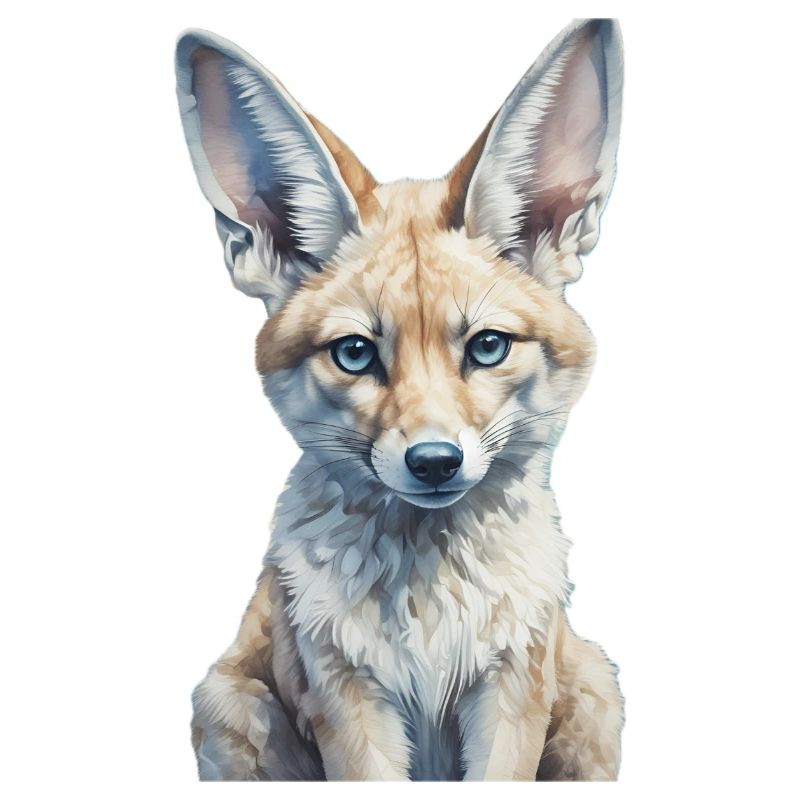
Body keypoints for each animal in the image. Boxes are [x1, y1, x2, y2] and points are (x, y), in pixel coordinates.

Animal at [175, 17, 624, 781]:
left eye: (487, 346)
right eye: (356, 353)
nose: (435, 461)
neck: (431, 608)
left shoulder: (512, 689)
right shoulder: (346, 698)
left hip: (596, 693)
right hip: (226, 705)